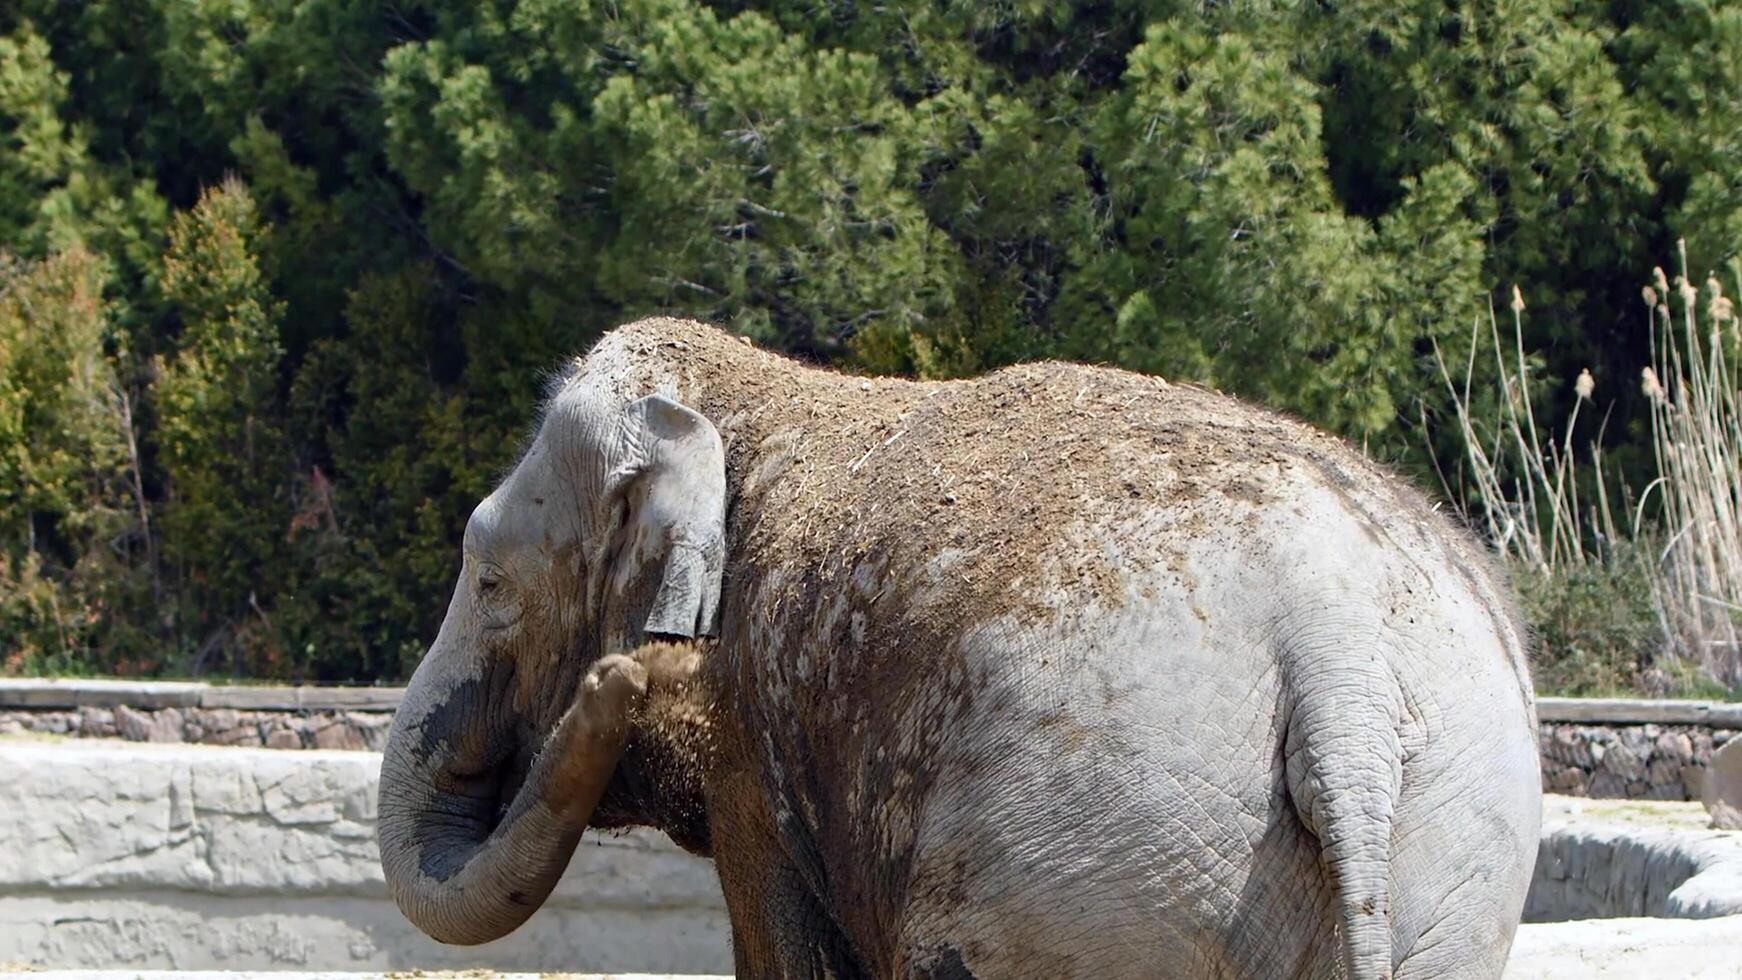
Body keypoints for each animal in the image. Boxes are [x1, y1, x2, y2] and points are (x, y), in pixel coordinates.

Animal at [378, 318, 1539, 974]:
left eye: (490, 582)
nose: (620, 676)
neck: (756, 388)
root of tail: (1339, 664)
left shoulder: (750, 745)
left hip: (1084, 861)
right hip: (1447, 863)